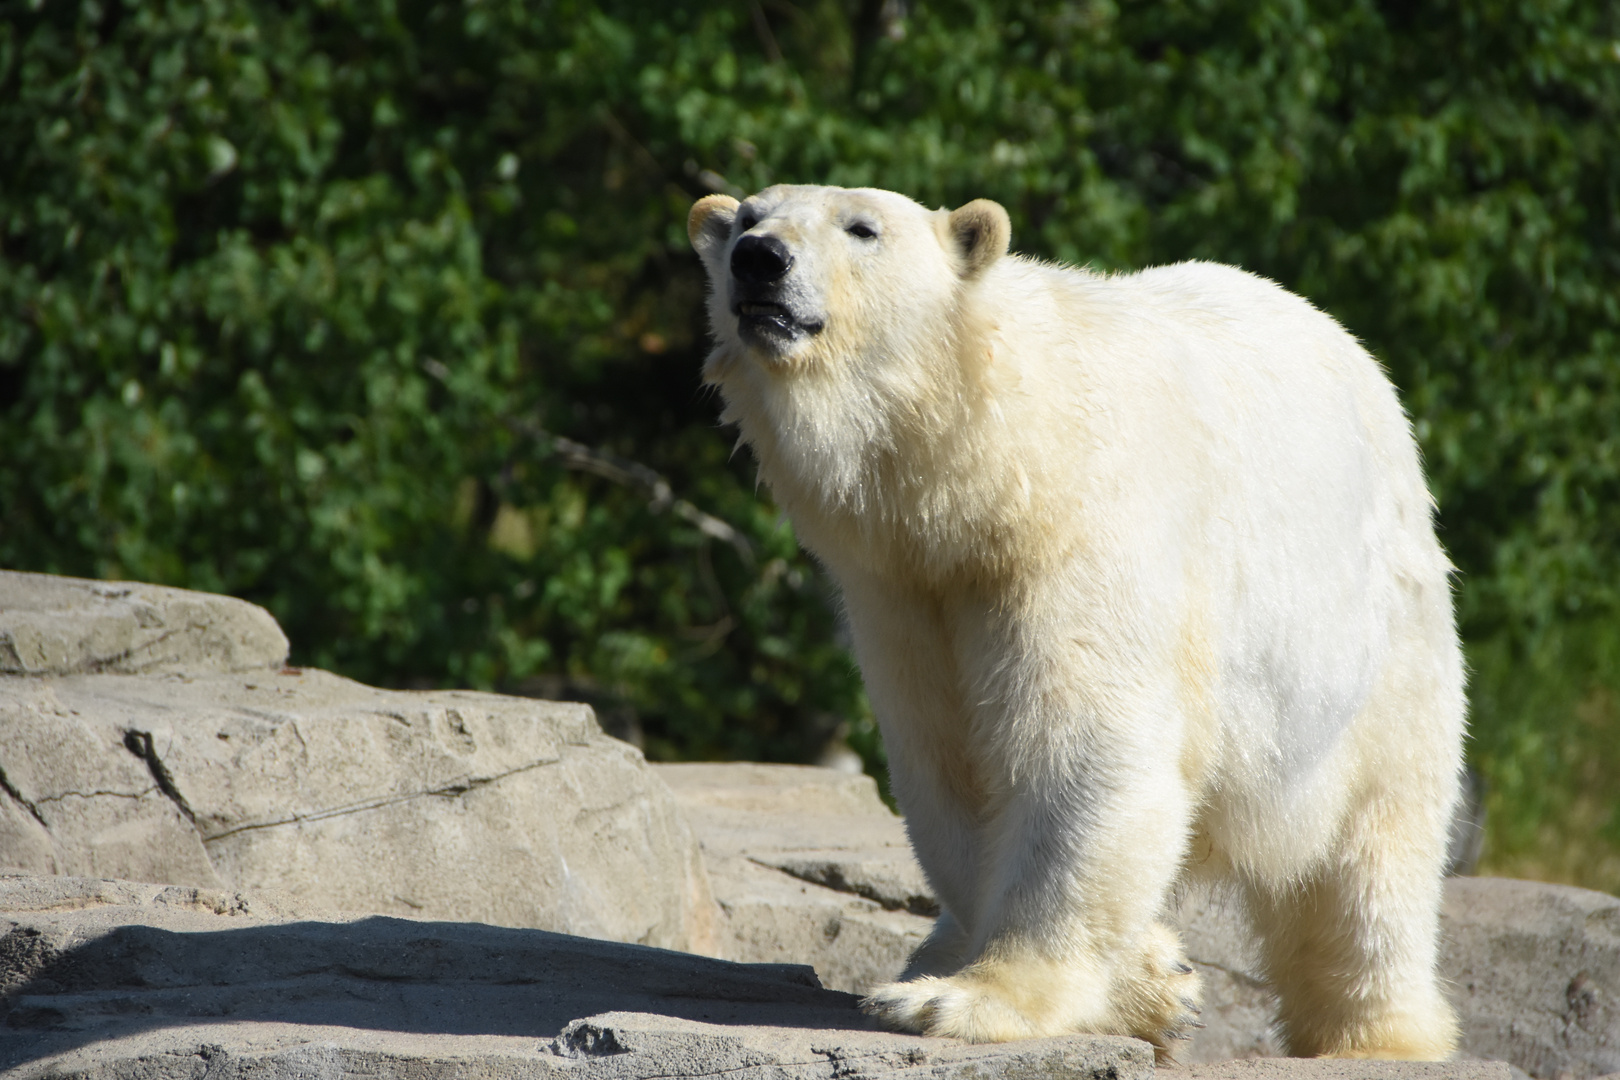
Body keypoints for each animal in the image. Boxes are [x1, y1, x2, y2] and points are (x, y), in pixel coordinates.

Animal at [686, 183, 1470, 1055]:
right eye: (747, 218)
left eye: (863, 229)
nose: (760, 259)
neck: (999, 459)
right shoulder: (902, 592)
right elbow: (951, 772)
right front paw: (1150, 982)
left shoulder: (1080, 544)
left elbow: (1079, 754)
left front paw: (964, 1000)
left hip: (1381, 639)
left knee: (1379, 841)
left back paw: (1381, 1032)